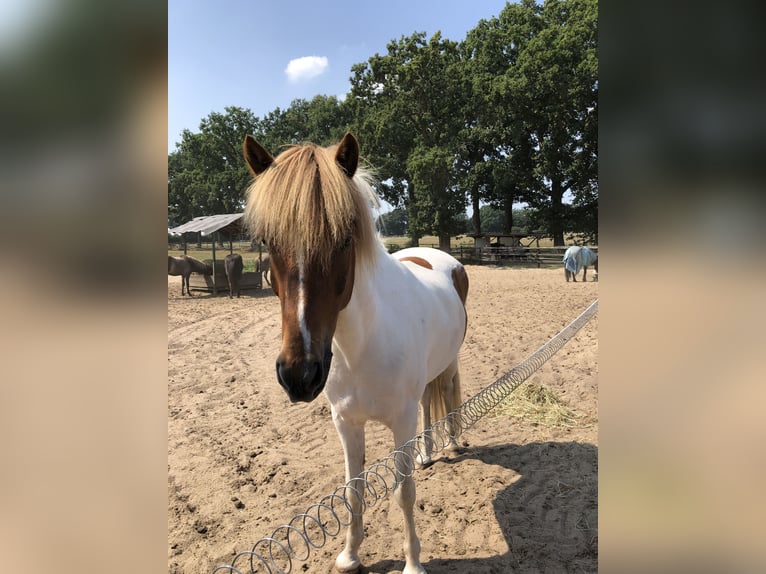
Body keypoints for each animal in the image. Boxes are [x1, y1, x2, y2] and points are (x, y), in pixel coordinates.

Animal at [243, 133, 468, 572]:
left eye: (344, 240)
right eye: (267, 242)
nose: (300, 375)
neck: (361, 346)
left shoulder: (399, 421)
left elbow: (403, 492)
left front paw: (412, 563)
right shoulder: (346, 423)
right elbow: (353, 491)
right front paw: (349, 555)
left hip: (448, 364)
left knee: (447, 394)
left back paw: (450, 444)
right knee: (428, 405)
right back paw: (427, 455)